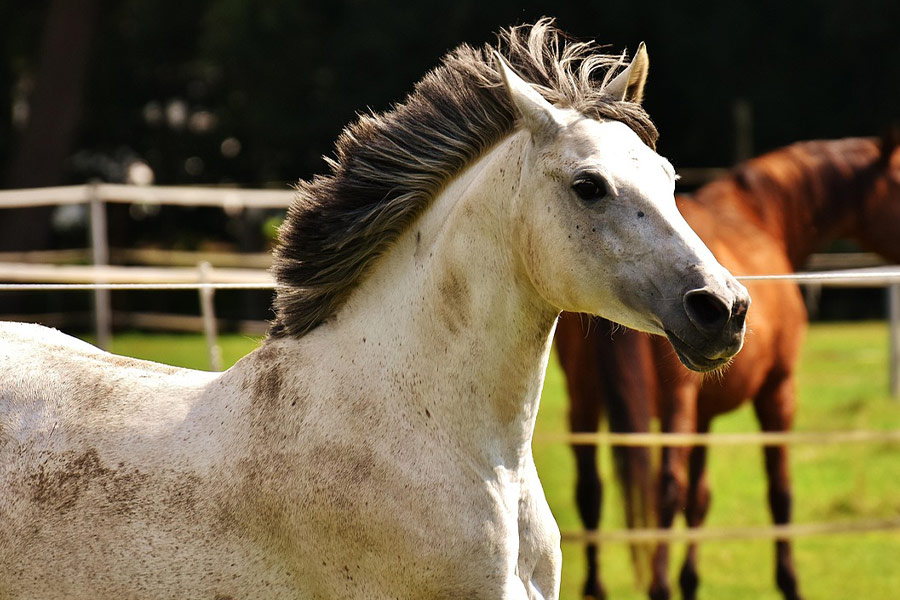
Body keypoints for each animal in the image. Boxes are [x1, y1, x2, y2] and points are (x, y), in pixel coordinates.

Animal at [555, 134, 900, 600]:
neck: (761, 215)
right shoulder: (778, 391)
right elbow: (779, 491)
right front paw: (789, 582)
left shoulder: (705, 414)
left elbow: (699, 500)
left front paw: (691, 582)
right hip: (676, 399)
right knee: (666, 487)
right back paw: (659, 585)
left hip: (584, 397)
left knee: (590, 488)